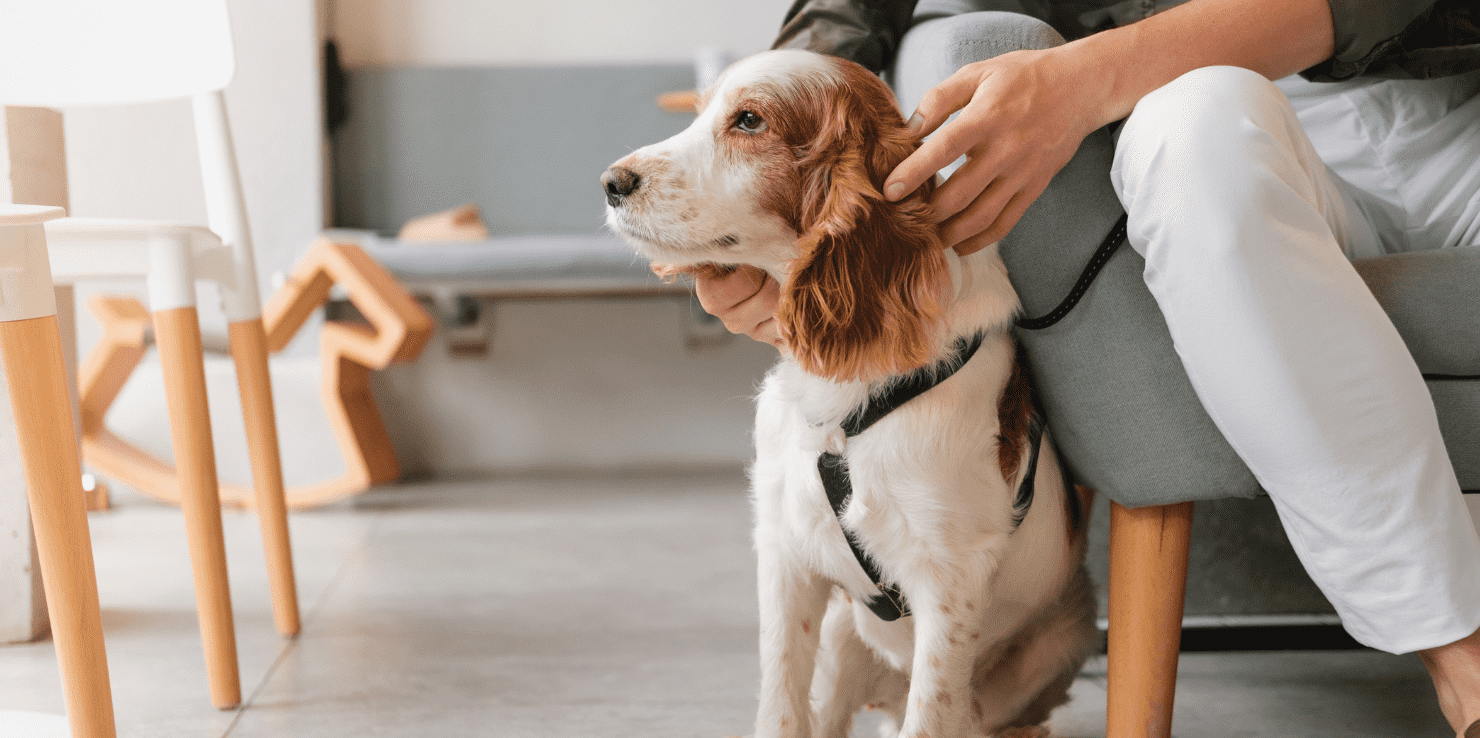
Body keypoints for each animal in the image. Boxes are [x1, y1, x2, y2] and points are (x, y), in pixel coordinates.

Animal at [600, 52, 1101, 738]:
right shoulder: (786, 554)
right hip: (844, 634)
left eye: (749, 120)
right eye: (701, 112)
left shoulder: (948, 580)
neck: (843, 401)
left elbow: (930, 713)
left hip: (1053, 647)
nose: (610, 181)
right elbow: (781, 702)